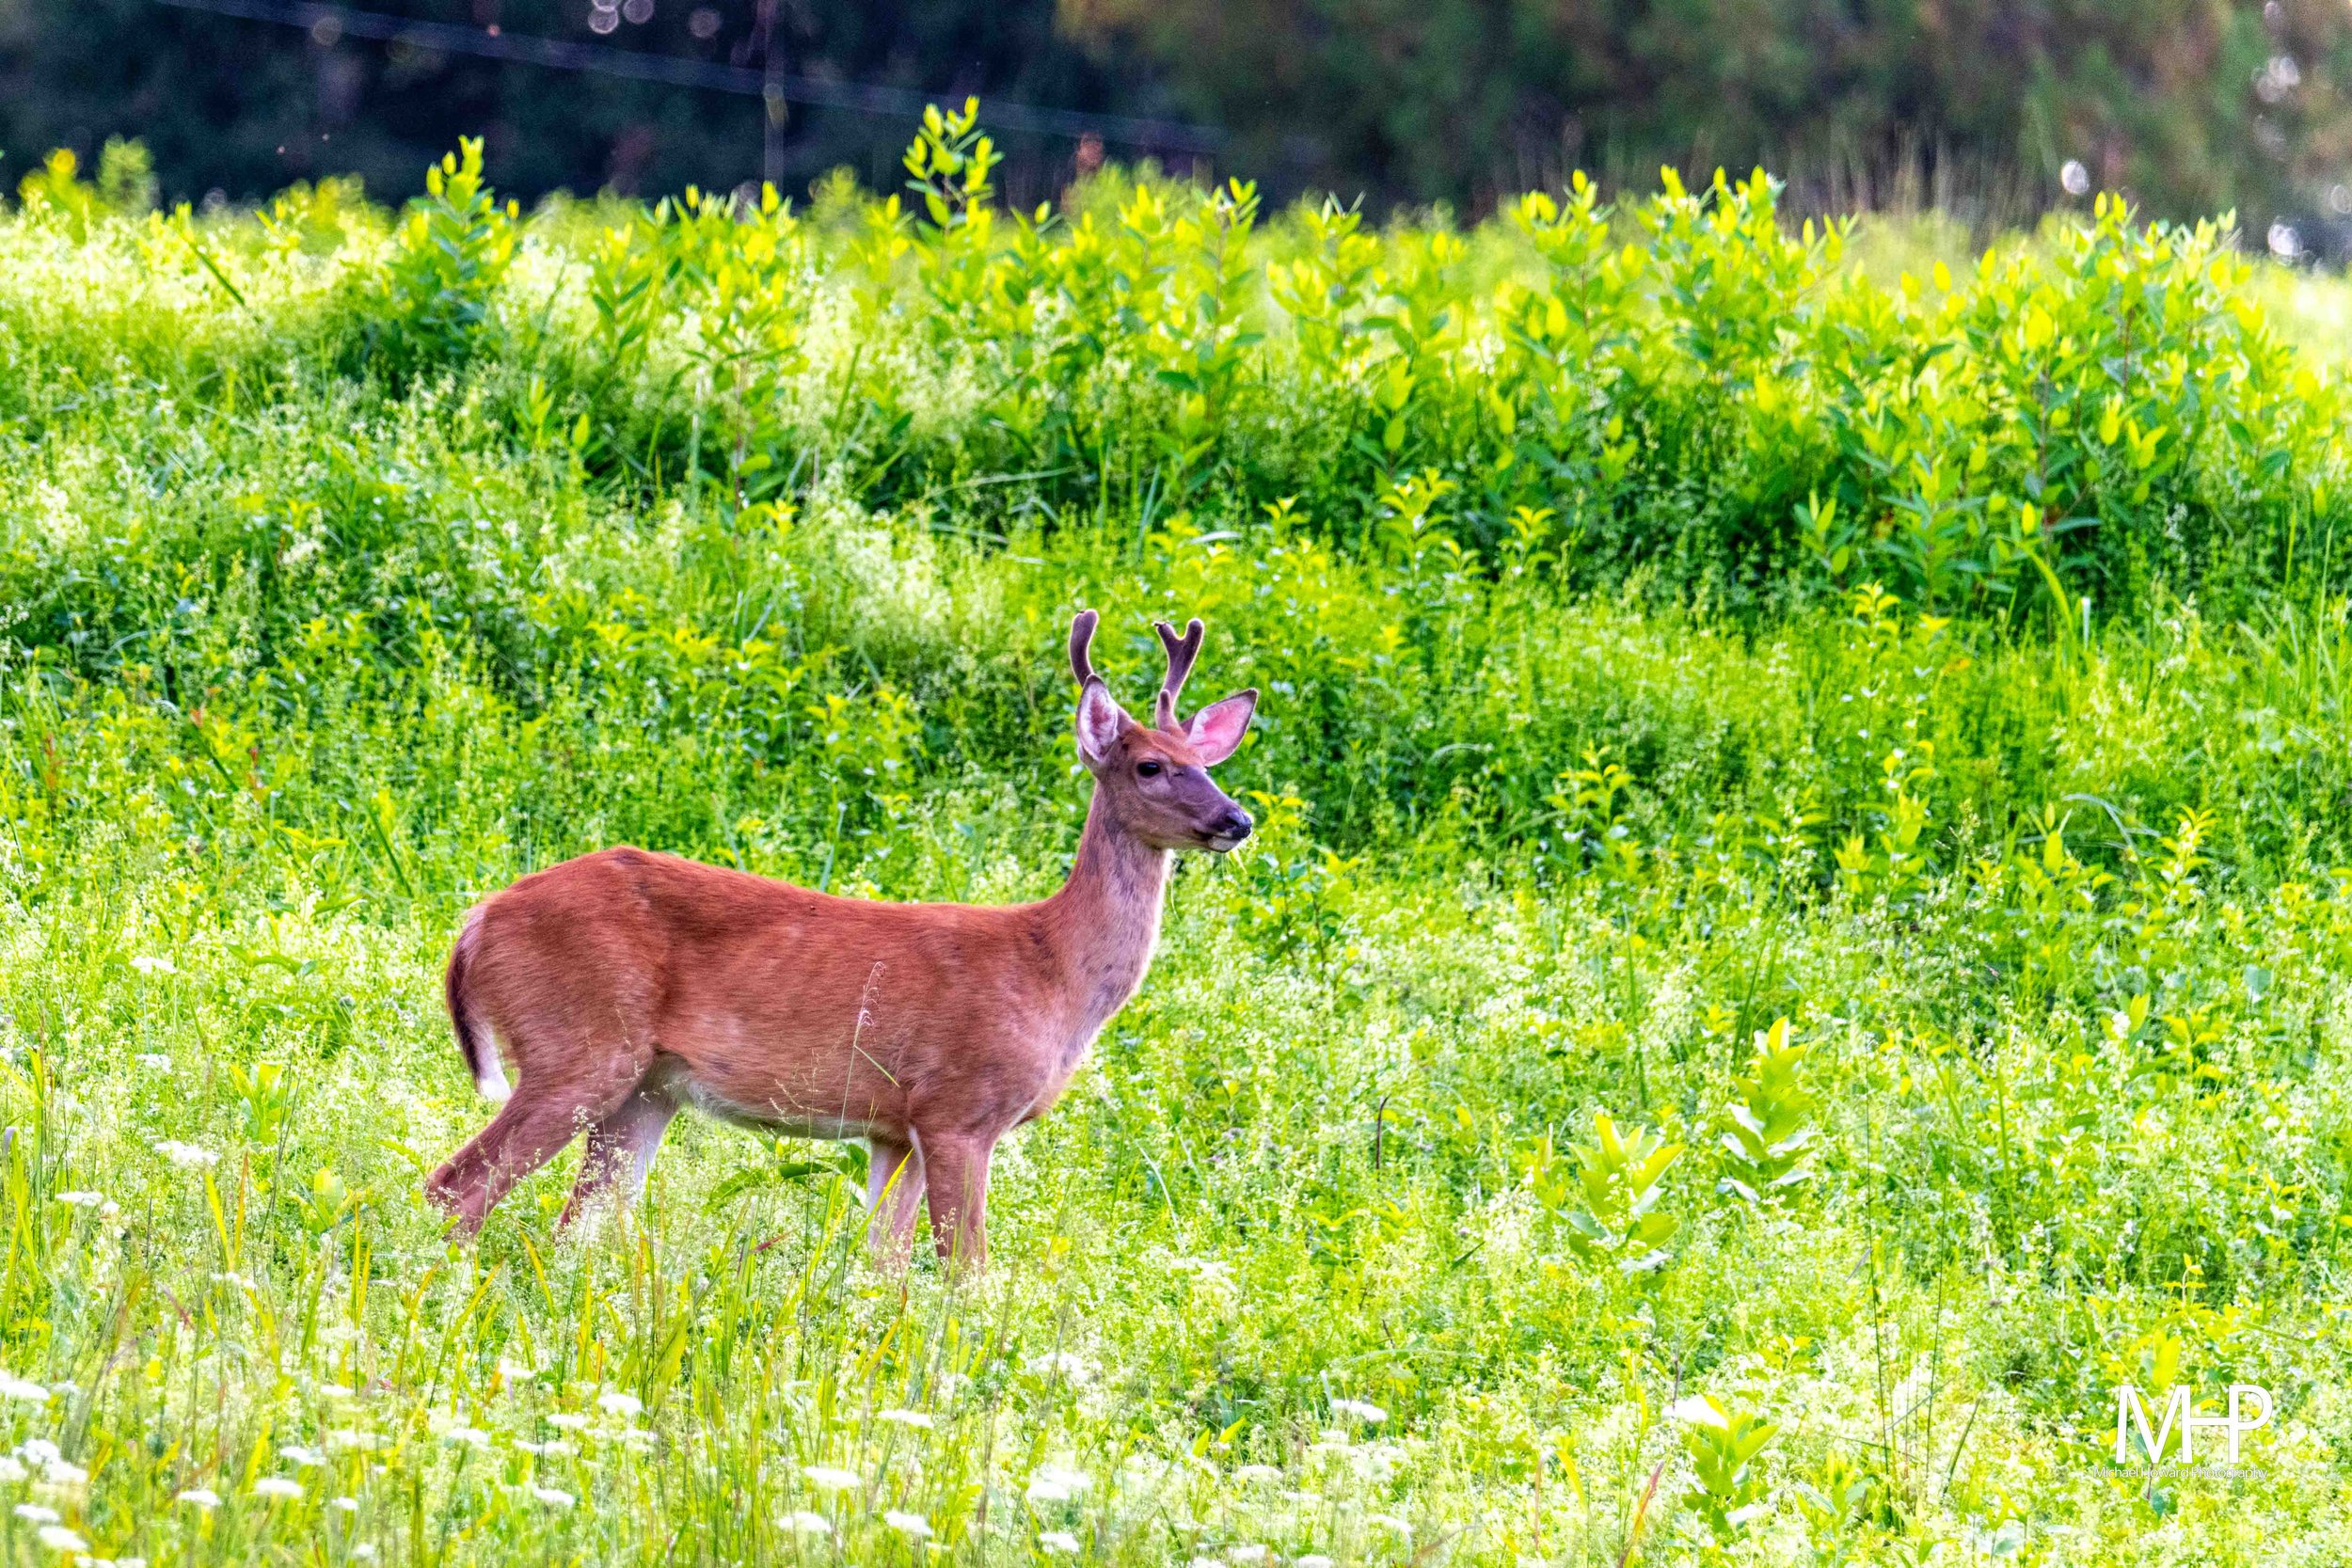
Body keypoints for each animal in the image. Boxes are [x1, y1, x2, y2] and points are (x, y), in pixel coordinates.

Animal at [423, 609, 1256, 1267]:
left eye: (1207, 763)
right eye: (1150, 766)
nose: (1237, 819)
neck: (1051, 968)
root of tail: (477, 922)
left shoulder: (896, 1127)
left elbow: (880, 1263)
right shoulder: (958, 1107)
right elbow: (964, 1271)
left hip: (646, 1089)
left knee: (577, 1222)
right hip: (578, 1045)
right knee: (455, 1188)